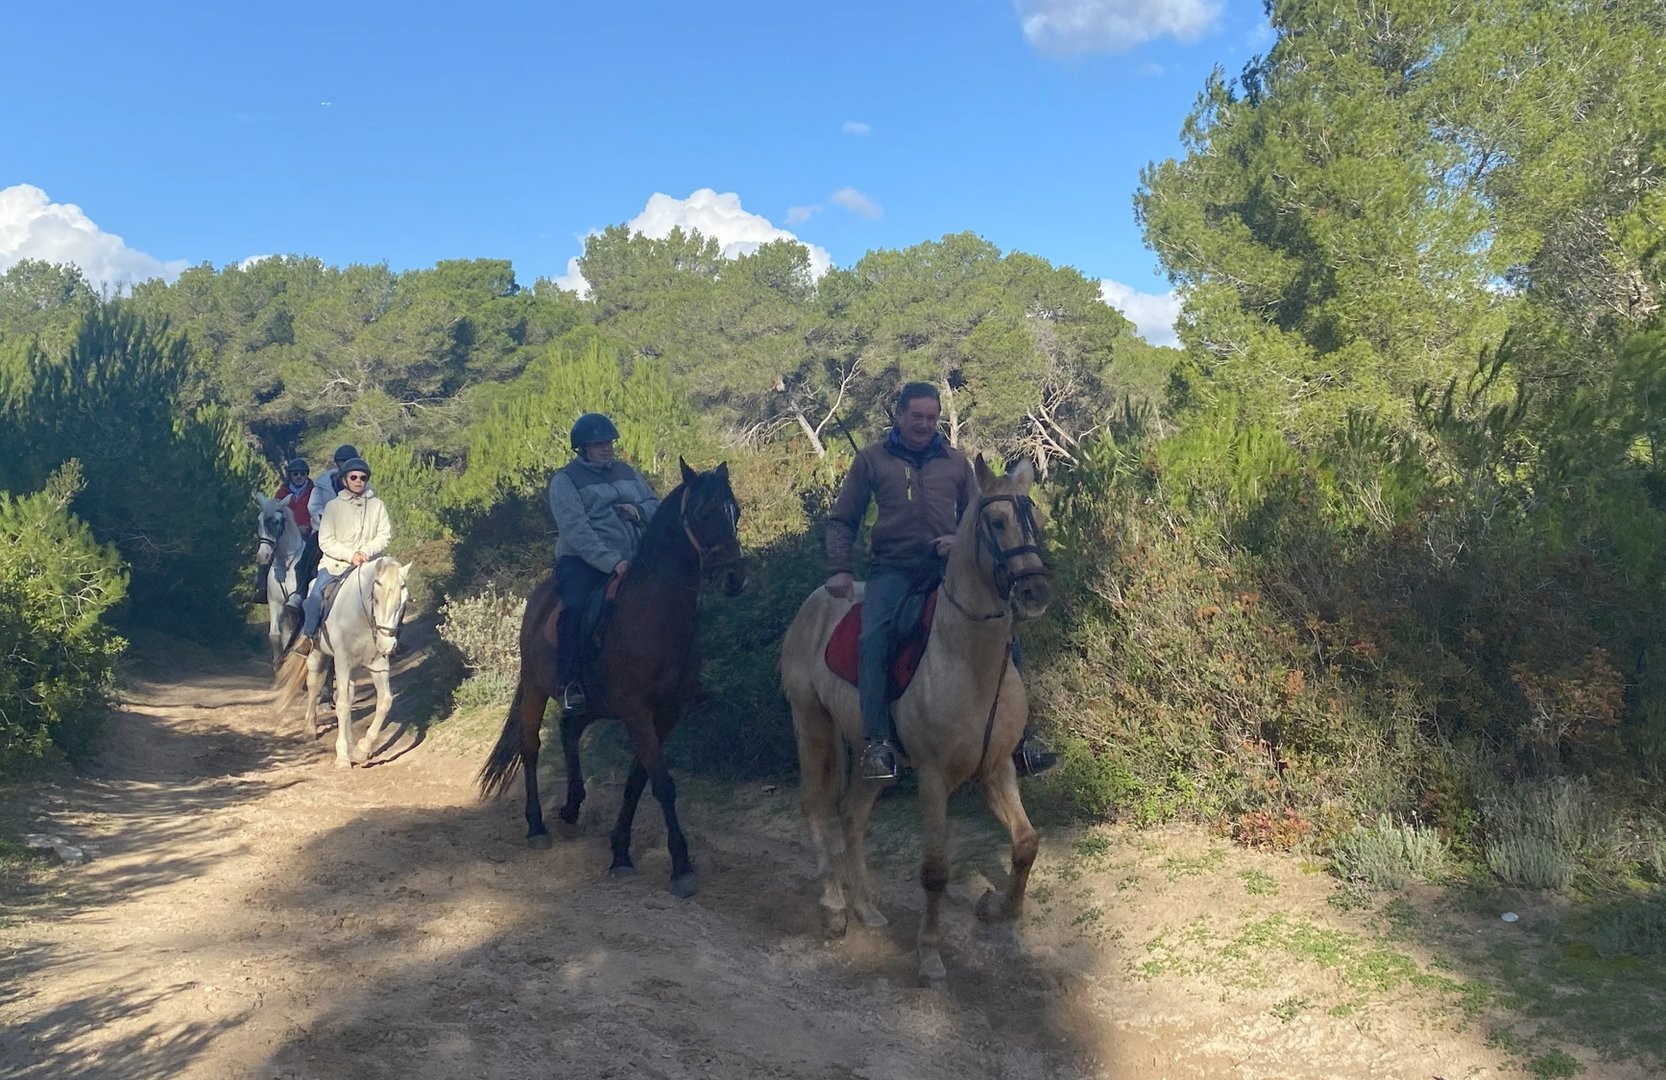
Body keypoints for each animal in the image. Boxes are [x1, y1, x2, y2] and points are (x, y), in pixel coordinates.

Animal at [253, 493, 308, 672]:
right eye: (259, 520)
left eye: (277, 522)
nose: (263, 555)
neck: (286, 565)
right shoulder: (276, 603)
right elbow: (275, 635)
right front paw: (278, 664)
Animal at [272, 555, 411, 767]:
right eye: (376, 599)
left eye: (403, 602)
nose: (387, 645)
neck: (361, 616)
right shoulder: (342, 662)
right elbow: (343, 703)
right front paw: (343, 757)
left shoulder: (378, 666)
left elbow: (385, 702)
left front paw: (360, 751)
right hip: (317, 654)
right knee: (314, 685)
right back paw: (309, 730)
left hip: (354, 668)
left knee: (350, 694)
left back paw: (352, 742)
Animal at [477, 458, 745, 899]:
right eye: (705, 512)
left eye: (734, 511)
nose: (735, 578)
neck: (654, 616)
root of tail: (538, 598)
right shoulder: (637, 712)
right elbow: (663, 784)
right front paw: (681, 867)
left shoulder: (664, 714)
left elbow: (638, 781)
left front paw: (620, 852)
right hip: (536, 689)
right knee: (531, 747)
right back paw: (536, 826)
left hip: (596, 704)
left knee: (568, 728)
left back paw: (572, 806)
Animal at [779, 455, 1053, 986]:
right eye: (996, 522)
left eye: (1035, 519)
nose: (1034, 592)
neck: (967, 657)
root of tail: (819, 599)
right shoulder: (932, 778)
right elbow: (935, 872)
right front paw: (930, 957)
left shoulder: (997, 769)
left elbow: (1026, 844)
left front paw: (1000, 913)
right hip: (811, 728)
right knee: (816, 809)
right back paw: (835, 908)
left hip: (870, 758)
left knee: (853, 816)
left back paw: (867, 910)